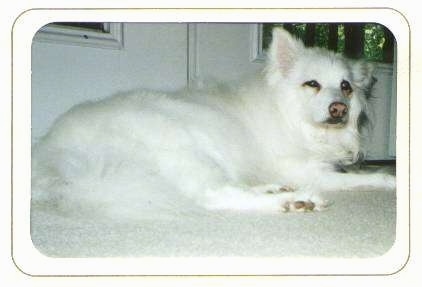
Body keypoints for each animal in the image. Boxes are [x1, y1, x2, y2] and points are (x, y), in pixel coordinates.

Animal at [32, 28, 396, 219]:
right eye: (312, 84)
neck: (289, 116)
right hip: (188, 150)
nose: (339, 109)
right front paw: (389, 180)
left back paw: (275, 189)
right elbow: (363, 178)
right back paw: (291, 201)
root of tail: (53, 161)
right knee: (213, 195)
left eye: (346, 87)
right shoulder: (306, 170)